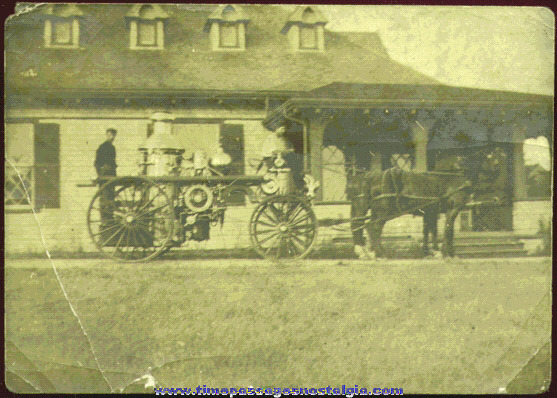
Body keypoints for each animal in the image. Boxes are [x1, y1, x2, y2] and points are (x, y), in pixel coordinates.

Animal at [352, 148, 508, 260]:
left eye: (501, 159)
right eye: (494, 160)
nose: (501, 195)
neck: (456, 178)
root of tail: (372, 177)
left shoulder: (436, 211)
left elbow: (441, 231)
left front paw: (446, 253)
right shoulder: (452, 209)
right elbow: (447, 230)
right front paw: (445, 253)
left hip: (377, 211)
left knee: (367, 227)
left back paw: (370, 252)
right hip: (384, 211)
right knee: (373, 228)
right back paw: (379, 253)